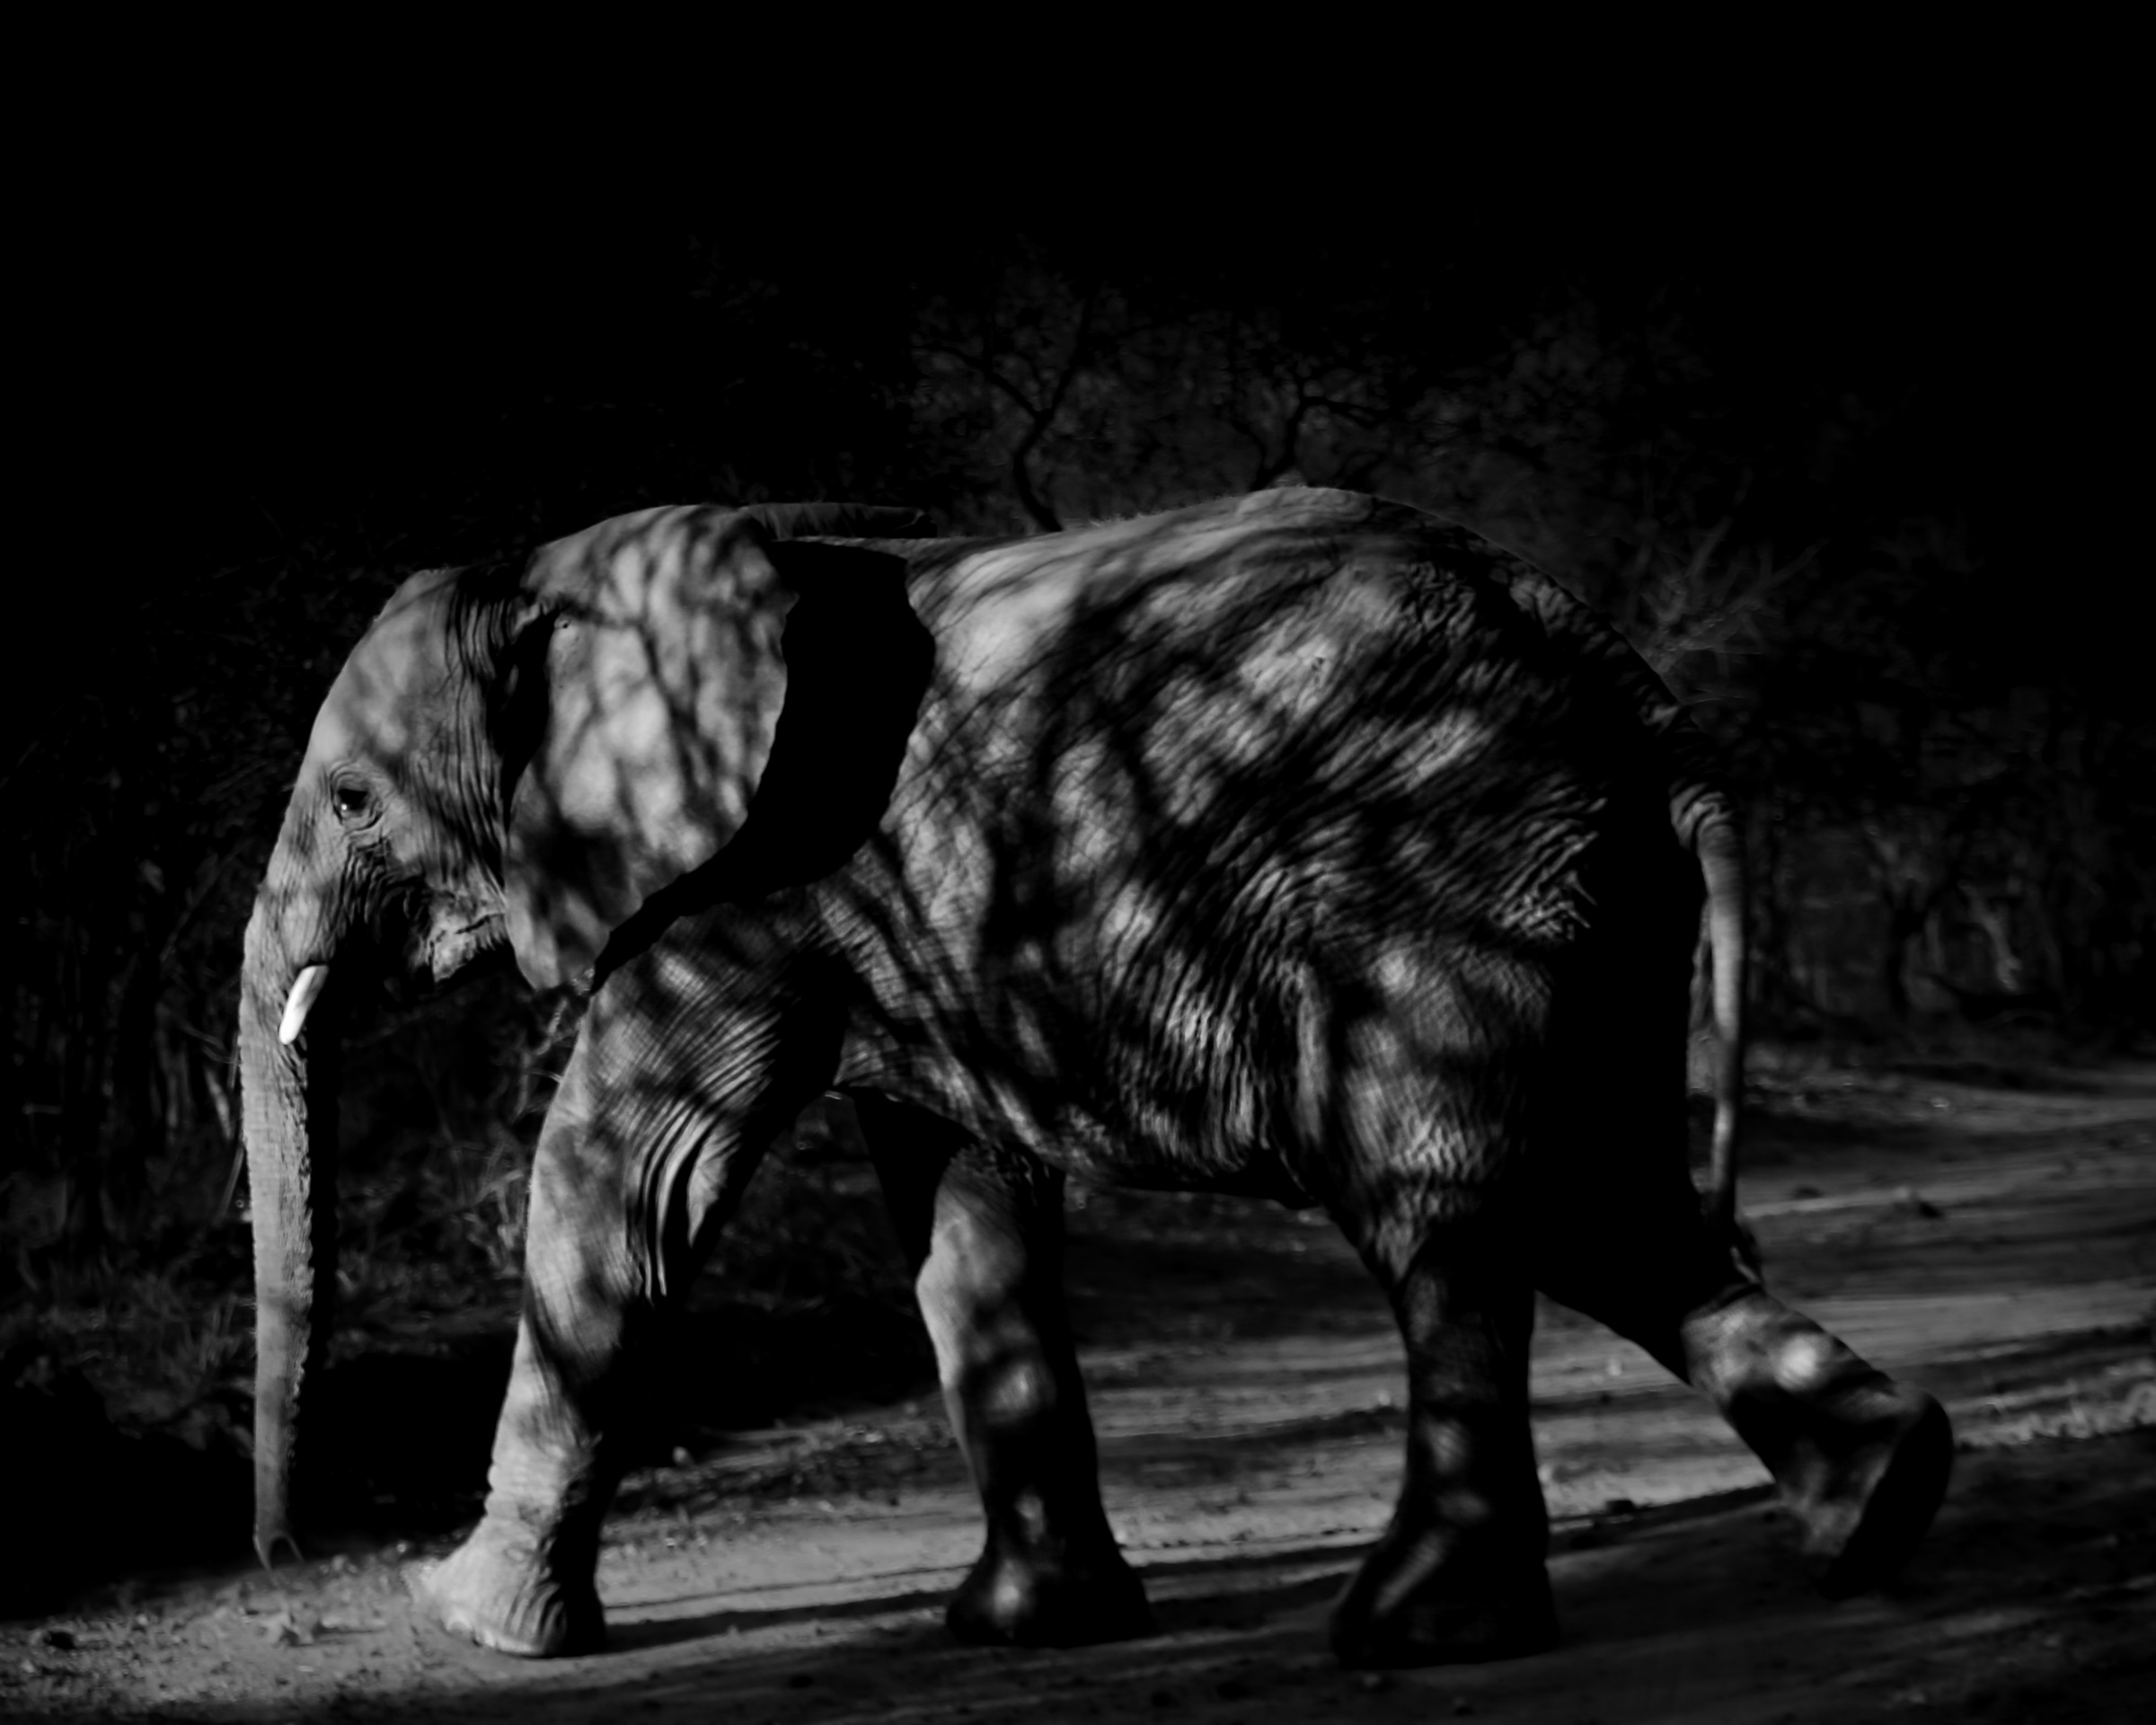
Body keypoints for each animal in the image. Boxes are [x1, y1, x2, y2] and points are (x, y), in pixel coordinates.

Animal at [238, 487, 1951, 1667]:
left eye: (354, 799)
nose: (279, 1559)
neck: (574, 565)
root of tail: (1647, 707)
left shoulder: (745, 883)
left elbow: (624, 1184)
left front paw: (465, 1622)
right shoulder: (904, 921)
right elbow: (965, 1211)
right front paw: (1030, 1629)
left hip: (1440, 872)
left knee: (1447, 1208)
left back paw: (1414, 1633)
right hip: (1576, 894)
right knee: (1609, 1203)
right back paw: (1886, 1502)